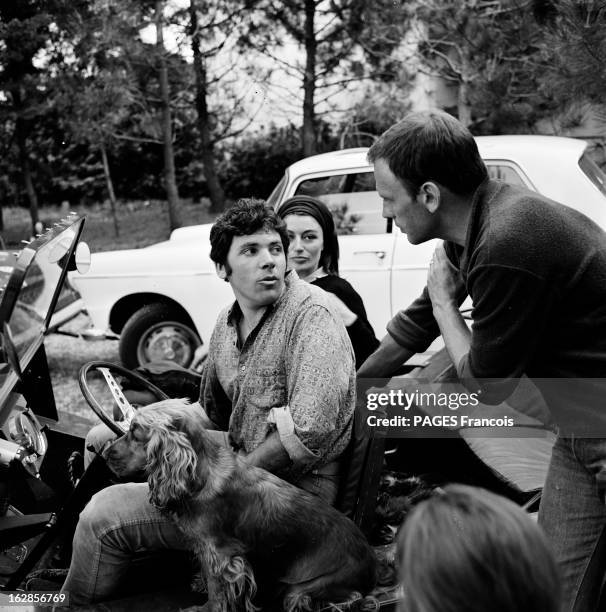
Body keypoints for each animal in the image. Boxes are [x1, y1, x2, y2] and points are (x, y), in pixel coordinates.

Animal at [105, 400, 380, 612]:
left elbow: (218, 589)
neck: (201, 471)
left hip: (310, 587)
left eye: (135, 432)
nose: (105, 453)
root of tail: (371, 559)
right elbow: (209, 575)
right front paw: (201, 584)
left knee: (350, 597)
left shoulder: (221, 551)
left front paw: (207, 608)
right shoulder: (206, 548)